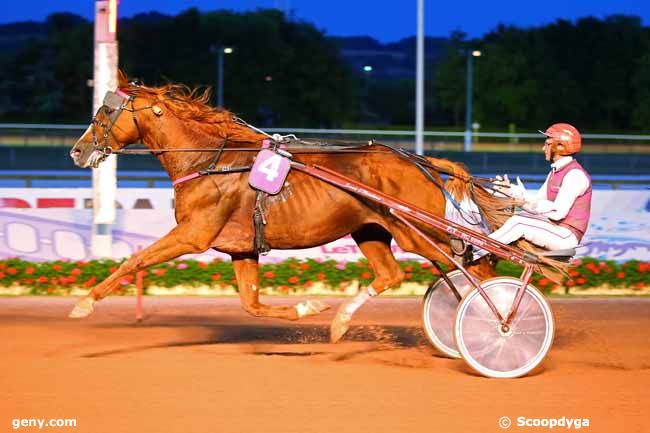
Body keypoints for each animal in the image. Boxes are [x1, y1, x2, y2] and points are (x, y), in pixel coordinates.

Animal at [69, 74, 506, 340]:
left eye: (105, 111)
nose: (78, 150)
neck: (209, 161)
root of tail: (417, 161)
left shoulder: (193, 234)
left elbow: (135, 259)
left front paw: (83, 304)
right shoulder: (241, 247)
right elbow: (252, 305)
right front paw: (309, 306)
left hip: (420, 231)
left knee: (478, 267)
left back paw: (500, 320)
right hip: (371, 229)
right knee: (392, 273)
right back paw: (341, 323)